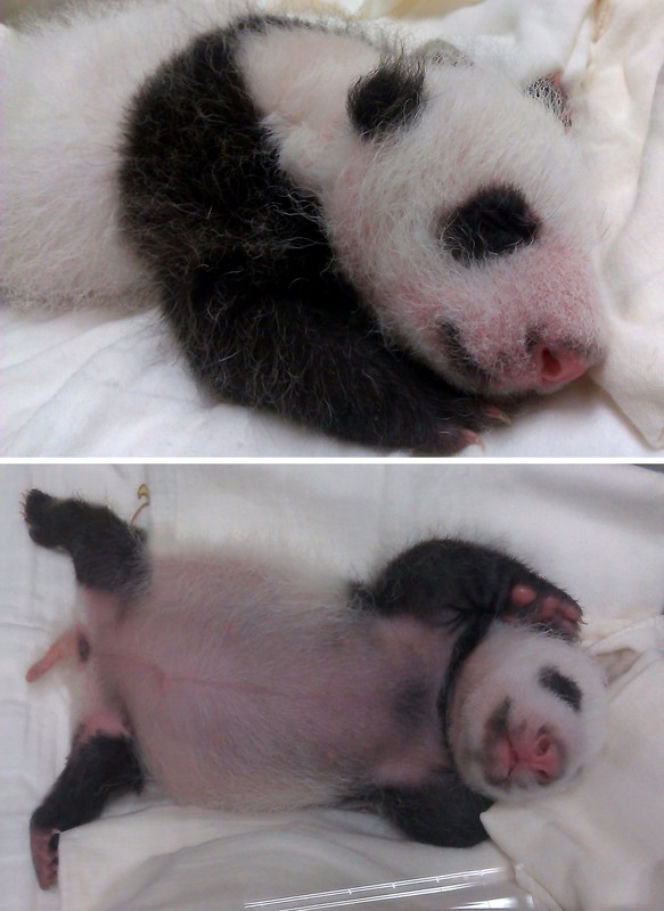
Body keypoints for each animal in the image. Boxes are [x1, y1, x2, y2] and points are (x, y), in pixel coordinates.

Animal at [24, 489, 607, 889]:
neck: (435, 700)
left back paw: (45, 838)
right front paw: (542, 603)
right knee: (100, 537)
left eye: (575, 774)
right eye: (564, 686)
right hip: (135, 581)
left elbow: (455, 825)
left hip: (120, 728)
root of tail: (92, 646)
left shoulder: (410, 779)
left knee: (96, 770)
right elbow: (449, 562)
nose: (544, 754)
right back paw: (41, 511)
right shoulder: (412, 615)